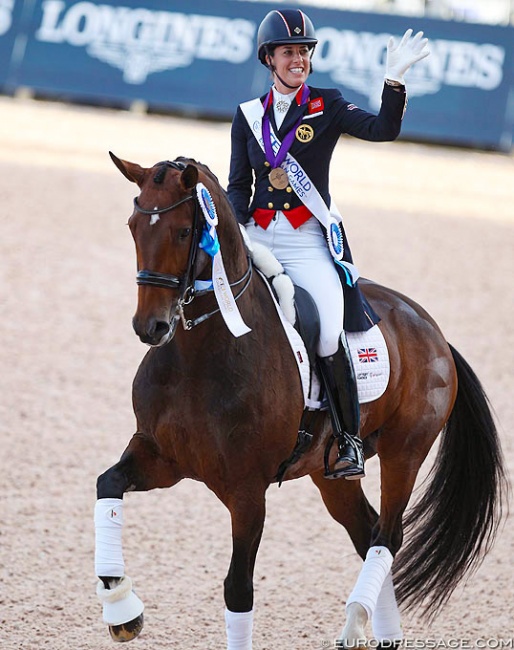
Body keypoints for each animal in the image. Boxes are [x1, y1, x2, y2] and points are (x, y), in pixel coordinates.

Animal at [95, 152, 504, 644]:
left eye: (182, 231)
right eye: (133, 225)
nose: (150, 327)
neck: (200, 355)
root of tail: (433, 331)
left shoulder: (247, 491)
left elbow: (238, 589)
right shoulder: (162, 457)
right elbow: (107, 484)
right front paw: (122, 610)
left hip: (405, 451)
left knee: (388, 536)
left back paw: (354, 622)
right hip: (330, 475)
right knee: (368, 533)